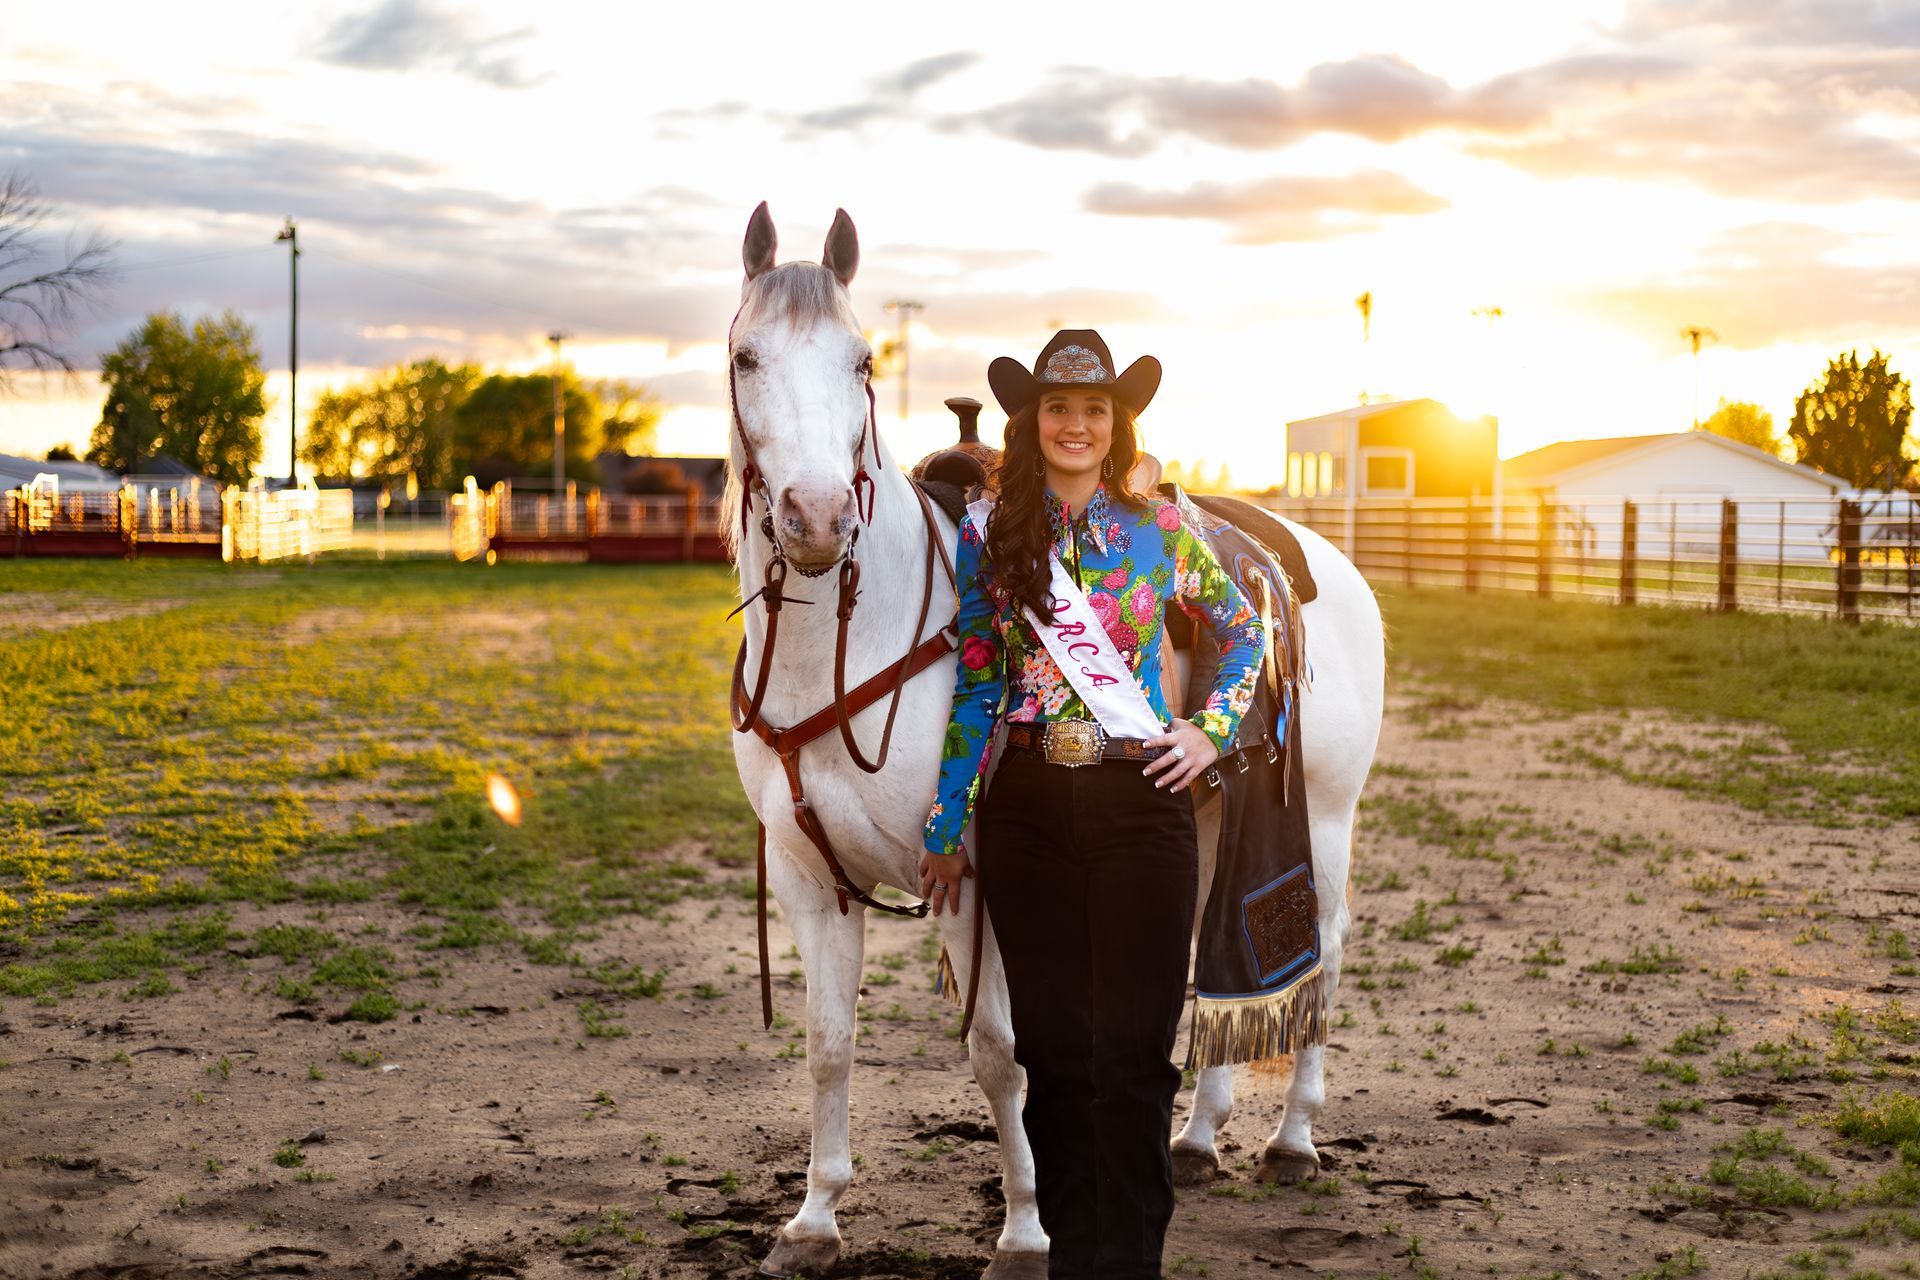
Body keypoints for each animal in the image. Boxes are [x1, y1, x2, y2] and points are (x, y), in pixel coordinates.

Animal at [724, 203, 1386, 1278]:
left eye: (862, 360)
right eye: (747, 356)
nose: (817, 517)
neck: (855, 643)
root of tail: (1309, 553)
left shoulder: (975, 880)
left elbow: (1001, 1053)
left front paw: (1028, 1231)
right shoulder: (809, 877)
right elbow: (828, 1047)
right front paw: (814, 1220)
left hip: (1322, 817)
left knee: (1319, 954)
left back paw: (1291, 1141)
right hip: (1210, 821)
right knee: (1210, 959)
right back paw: (1197, 1138)